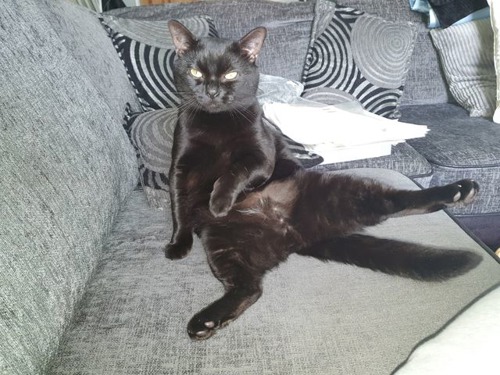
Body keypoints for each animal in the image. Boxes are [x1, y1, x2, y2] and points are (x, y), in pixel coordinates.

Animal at [166, 20, 482, 340]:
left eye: (231, 74)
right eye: (195, 73)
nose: (212, 91)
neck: (217, 123)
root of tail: (293, 232)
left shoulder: (262, 156)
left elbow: (235, 171)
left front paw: (219, 201)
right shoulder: (180, 165)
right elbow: (179, 205)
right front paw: (179, 243)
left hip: (344, 191)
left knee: (403, 199)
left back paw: (458, 191)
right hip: (224, 243)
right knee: (249, 288)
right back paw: (206, 322)